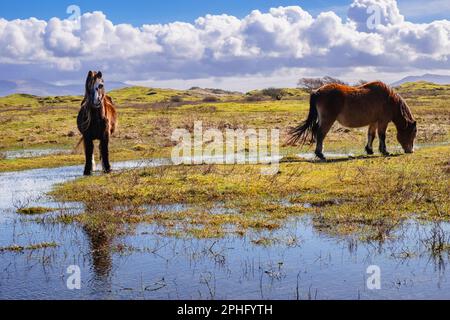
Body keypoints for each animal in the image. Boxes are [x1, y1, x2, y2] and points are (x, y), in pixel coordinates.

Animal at [288, 80, 418, 160]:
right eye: (412, 132)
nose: (411, 151)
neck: (389, 100)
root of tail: (317, 91)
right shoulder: (382, 121)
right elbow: (382, 135)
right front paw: (384, 151)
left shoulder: (374, 121)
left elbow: (371, 135)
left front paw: (369, 150)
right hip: (327, 120)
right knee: (320, 134)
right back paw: (321, 154)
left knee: (316, 132)